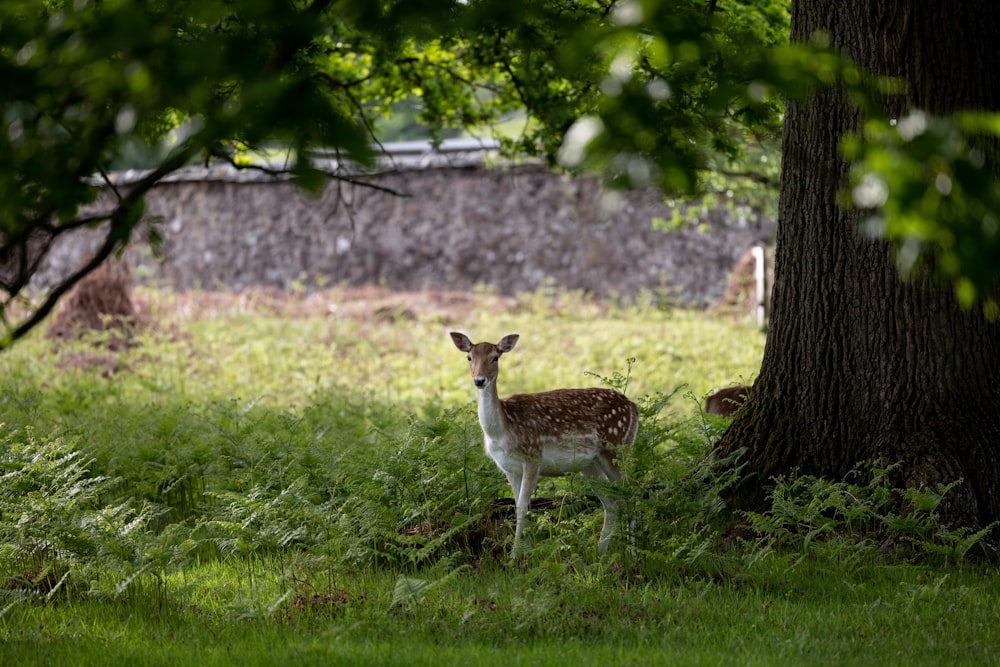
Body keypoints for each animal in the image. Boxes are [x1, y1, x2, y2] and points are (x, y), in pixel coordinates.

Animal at [450, 332, 636, 560]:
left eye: (495, 357)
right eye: (469, 357)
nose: (479, 380)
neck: (503, 430)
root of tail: (633, 407)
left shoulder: (533, 456)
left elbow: (521, 507)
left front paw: (514, 557)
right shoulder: (508, 468)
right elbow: (520, 505)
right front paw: (528, 554)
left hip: (617, 445)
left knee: (630, 492)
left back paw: (632, 554)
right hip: (589, 464)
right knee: (610, 501)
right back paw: (600, 553)